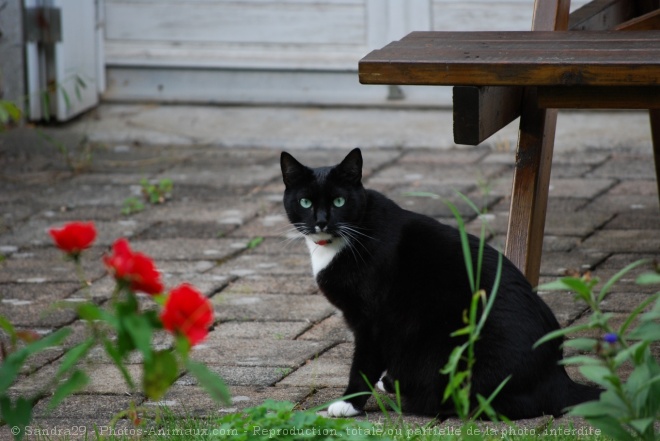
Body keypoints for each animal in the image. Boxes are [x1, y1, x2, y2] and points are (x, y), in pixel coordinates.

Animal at [278, 149, 600, 420]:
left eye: (339, 202)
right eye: (305, 202)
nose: (321, 221)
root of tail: (556, 377)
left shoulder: (372, 321)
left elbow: (363, 363)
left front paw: (348, 403)